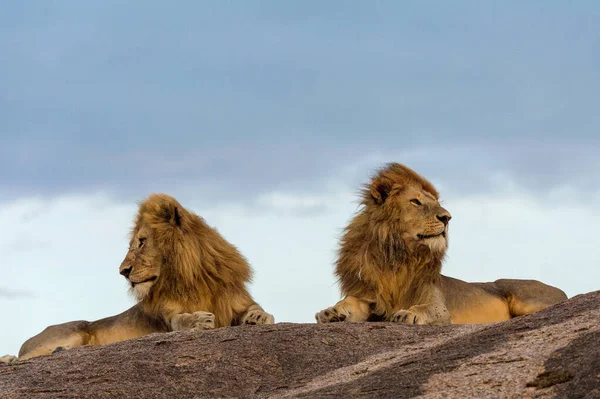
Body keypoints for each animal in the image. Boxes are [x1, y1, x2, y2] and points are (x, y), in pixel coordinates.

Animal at [9, 194, 274, 362]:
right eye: (133, 244)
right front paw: (198, 321)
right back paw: (15, 358)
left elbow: (258, 308)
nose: (123, 271)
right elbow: (180, 320)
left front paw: (259, 317)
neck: (189, 279)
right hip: (73, 332)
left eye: (142, 242)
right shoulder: (166, 317)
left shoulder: (236, 298)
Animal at [316, 164, 568, 326]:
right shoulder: (371, 296)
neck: (398, 256)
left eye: (436, 203)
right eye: (416, 202)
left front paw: (408, 314)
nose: (447, 218)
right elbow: (351, 301)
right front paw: (331, 312)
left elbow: (427, 308)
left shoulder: (439, 306)